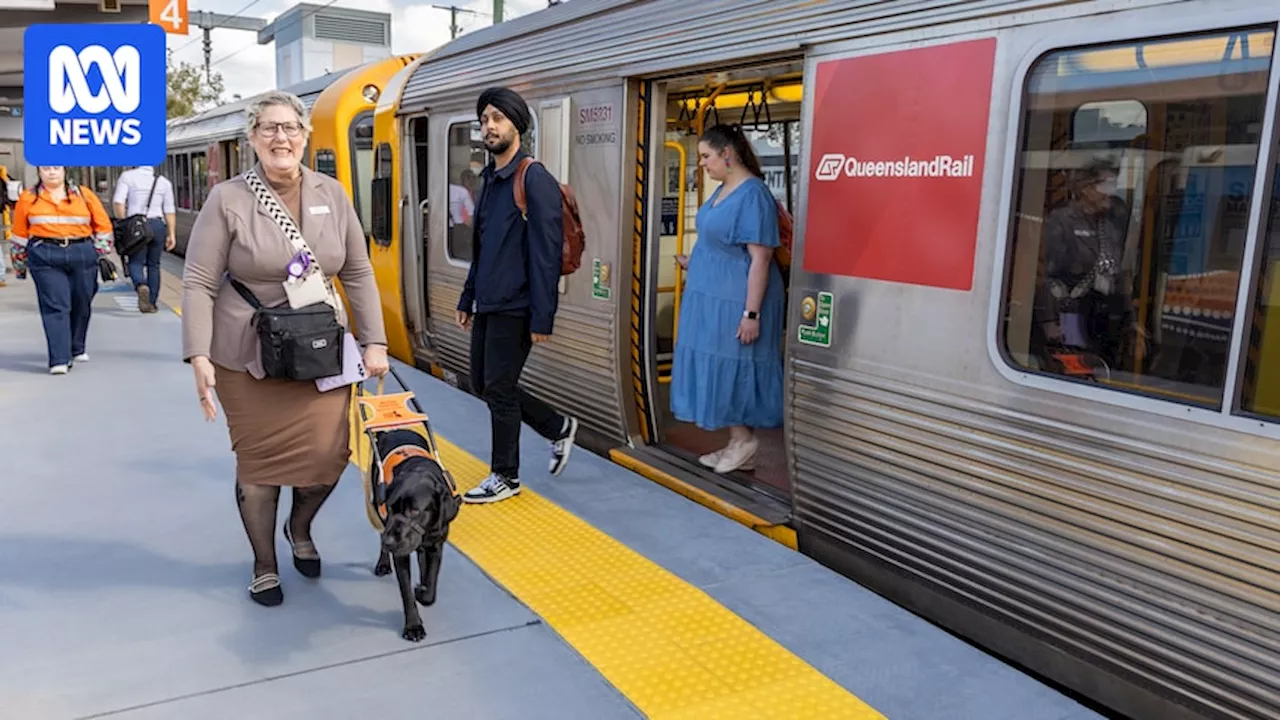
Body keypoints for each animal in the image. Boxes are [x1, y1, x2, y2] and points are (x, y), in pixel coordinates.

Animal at [358, 368, 463, 638]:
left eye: (415, 510)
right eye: (392, 507)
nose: (390, 540)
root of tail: (390, 430)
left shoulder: (436, 543)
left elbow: (430, 585)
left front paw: (423, 589)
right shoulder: (399, 546)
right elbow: (406, 593)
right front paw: (413, 626)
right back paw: (383, 561)